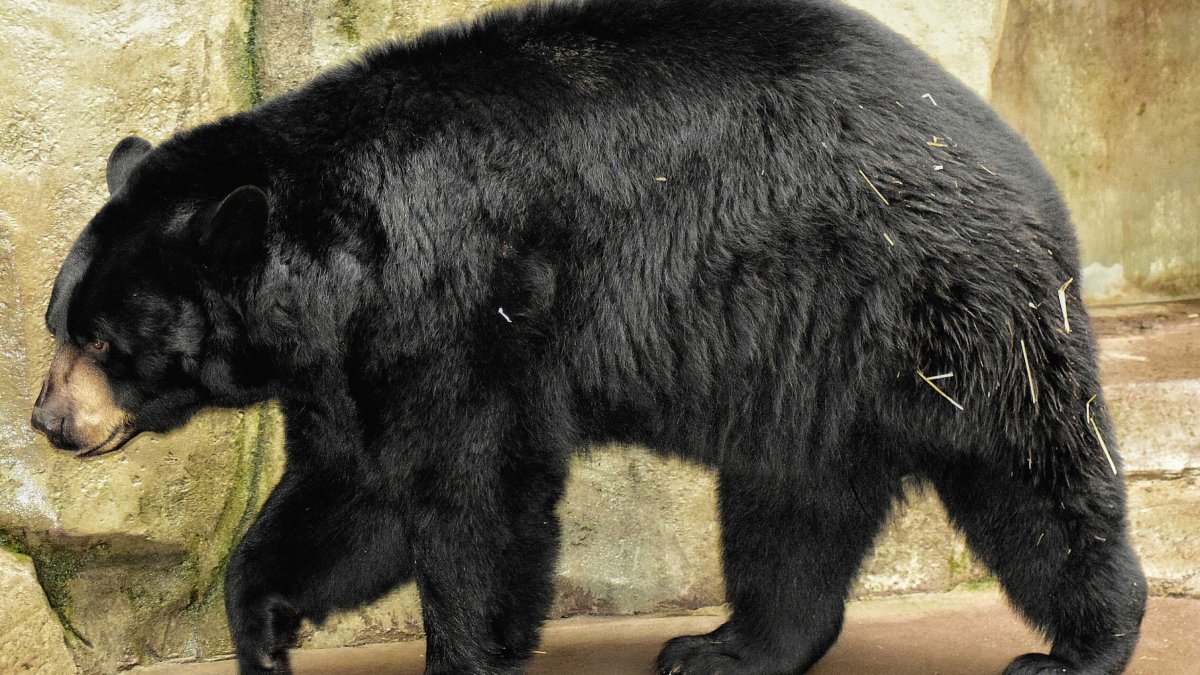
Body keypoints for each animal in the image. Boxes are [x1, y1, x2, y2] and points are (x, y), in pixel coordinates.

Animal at [31, 0, 1146, 673]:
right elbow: (353, 495)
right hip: (807, 362)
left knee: (1028, 476)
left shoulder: (463, 305)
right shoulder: (354, 360)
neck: (347, 259)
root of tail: (1015, 157)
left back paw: (1081, 642)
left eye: (106, 342)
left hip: (938, 306)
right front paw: (263, 629)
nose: (48, 419)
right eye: (61, 323)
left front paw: (458, 651)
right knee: (791, 504)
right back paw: (729, 646)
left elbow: (471, 498)